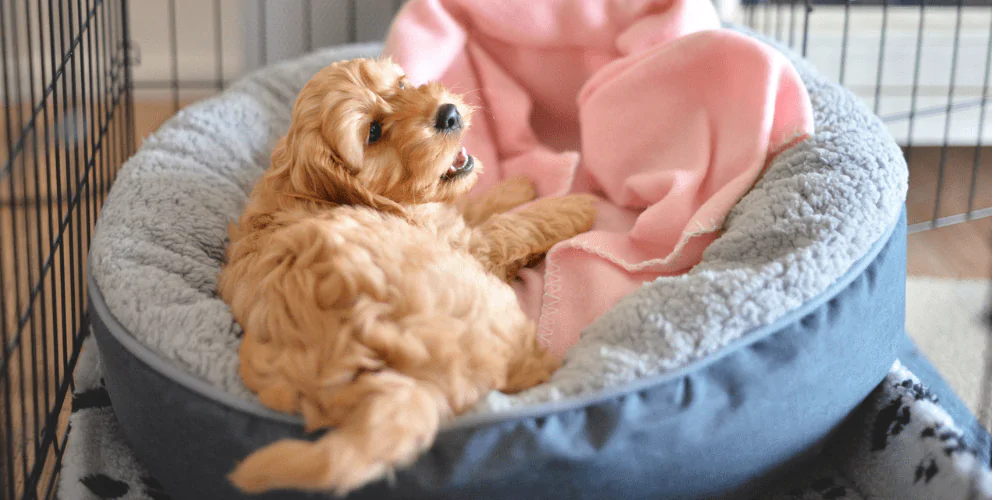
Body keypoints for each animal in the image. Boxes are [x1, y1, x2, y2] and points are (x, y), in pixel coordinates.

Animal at [217, 57, 592, 492]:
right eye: (373, 132)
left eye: (401, 85)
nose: (448, 114)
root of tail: (375, 367)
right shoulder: (469, 247)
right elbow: (514, 226)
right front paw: (576, 205)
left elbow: (472, 205)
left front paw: (516, 186)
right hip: (486, 305)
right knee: (525, 371)